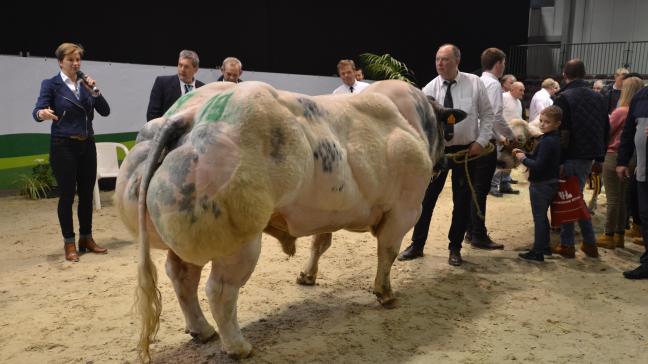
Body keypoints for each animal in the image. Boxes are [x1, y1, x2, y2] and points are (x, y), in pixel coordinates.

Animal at [115, 80, 460, 362]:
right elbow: (387, 253)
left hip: (187, 235)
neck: (410, 121)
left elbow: (321, 243)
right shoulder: (404, 210)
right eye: (447, 131)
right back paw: (239, 346)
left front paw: (307, 276)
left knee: (181, 277)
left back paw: (202, 330)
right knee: (220, 290)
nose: (444, 163)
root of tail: (188, 115)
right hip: (240, 240)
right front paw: (386, 294)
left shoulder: (327, 213)